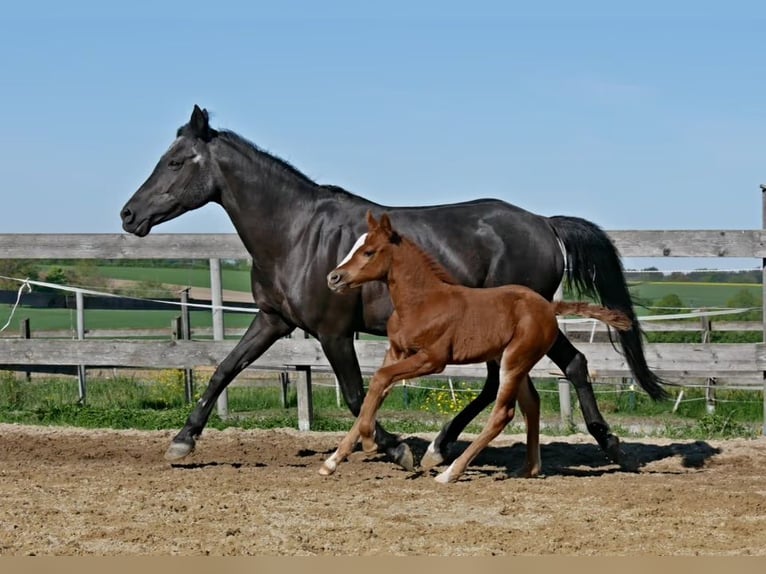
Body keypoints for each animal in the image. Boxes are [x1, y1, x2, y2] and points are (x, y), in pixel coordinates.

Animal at [320, 214, 632, 484]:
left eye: (369, 252)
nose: (333, 278)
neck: (421, 303)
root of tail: (547, 306)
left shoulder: (432, 359)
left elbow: (378, 380)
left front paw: (370, 441)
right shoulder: (396, 352)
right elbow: (374, 393)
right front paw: (332, 462)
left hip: (514, 361)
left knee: (503, 413)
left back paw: (450, 472)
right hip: (512, 360)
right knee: (531, 403)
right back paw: (528, 469)